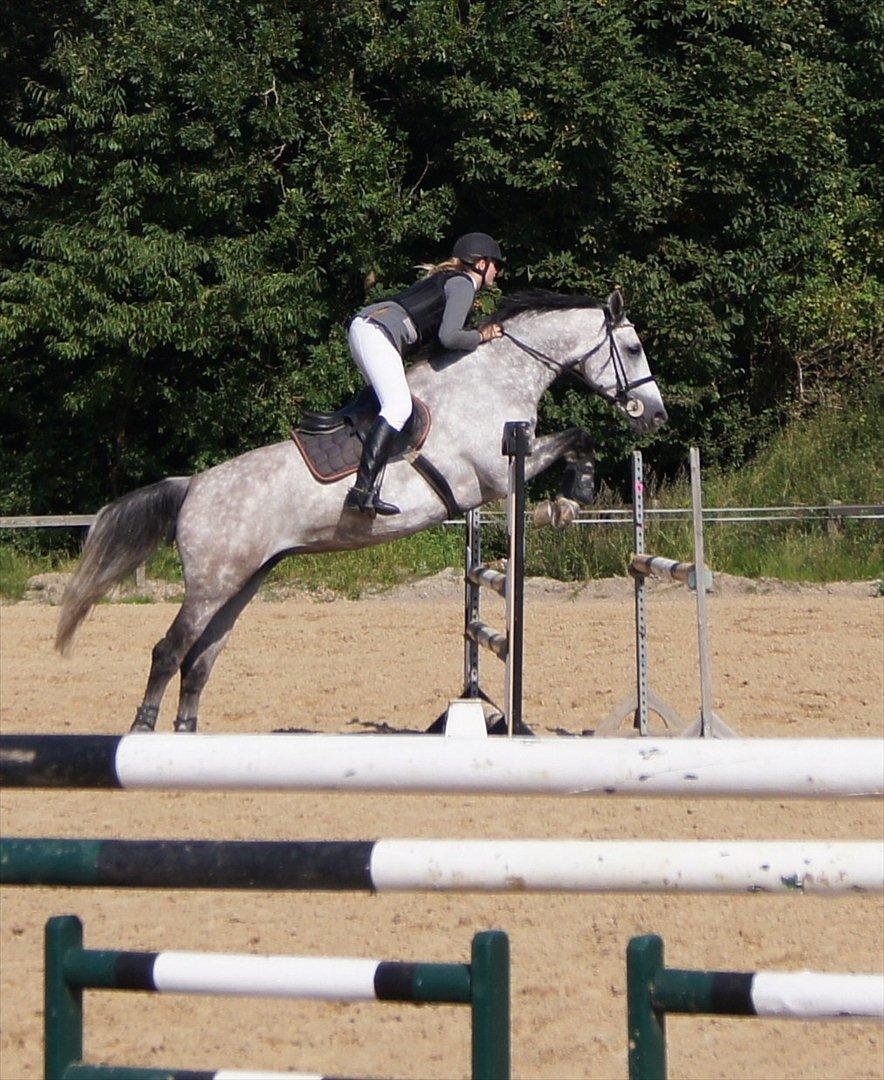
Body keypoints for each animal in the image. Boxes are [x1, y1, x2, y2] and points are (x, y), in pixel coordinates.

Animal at [56, 287, 664, 730]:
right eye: (634, 349)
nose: (655, 414)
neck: (494, 378)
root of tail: (193, 486)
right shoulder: (496, 472)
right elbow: (575, 436)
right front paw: (568, 500)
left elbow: (578, 438)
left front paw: (570, 498)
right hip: (212, 582)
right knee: (169, 651)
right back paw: (142, 732)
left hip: (244, 581)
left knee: (201, 659)